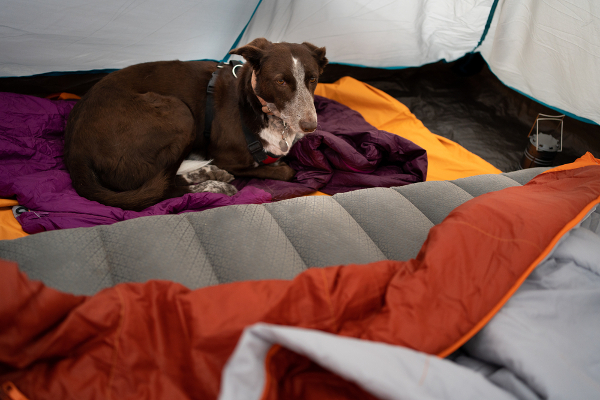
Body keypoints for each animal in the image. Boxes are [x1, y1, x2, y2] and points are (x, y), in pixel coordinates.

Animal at [64, 38, 328, 211]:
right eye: (280, 81)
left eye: (313, 79)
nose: (310, 126)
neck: (255, 103)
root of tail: (75, 151)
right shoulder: (227, 158)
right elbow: (284, 170)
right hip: (179, 111)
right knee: (161, 187)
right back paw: (216, 185)